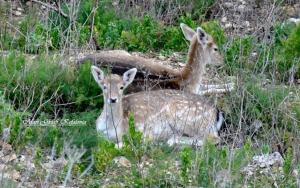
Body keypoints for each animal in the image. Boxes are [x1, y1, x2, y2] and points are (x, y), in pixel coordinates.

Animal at [91, 65, 223, 147]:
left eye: (121, 87)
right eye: (104, 86)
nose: (113, 99)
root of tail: (216, 112)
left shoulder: (137, 131)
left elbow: (121, 144)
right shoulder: (98, 135)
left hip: (188, 118)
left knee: (214, 138)